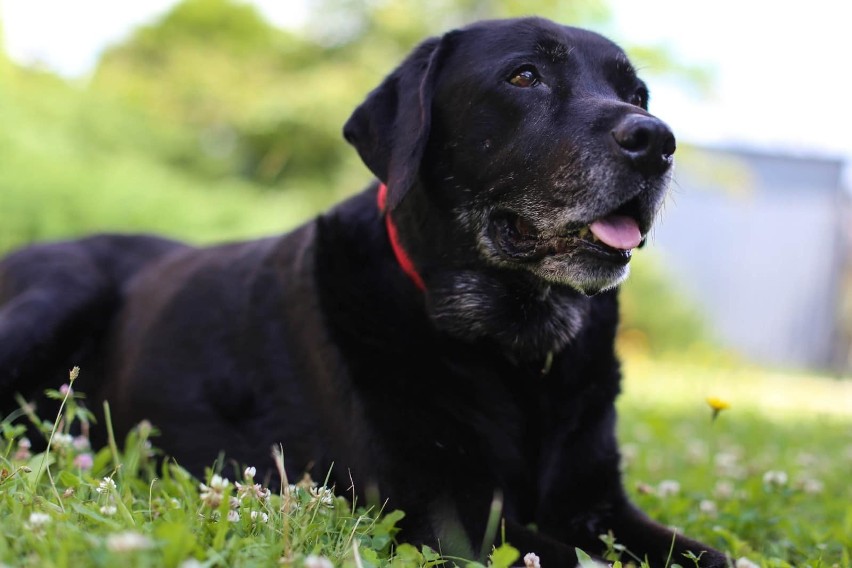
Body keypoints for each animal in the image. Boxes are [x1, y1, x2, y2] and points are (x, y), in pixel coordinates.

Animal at [3, 17, 728, 568]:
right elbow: (572, 558)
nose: (656, 140)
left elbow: (713, 555)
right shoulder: (443, 507)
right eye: (524, 76)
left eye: (639, 93)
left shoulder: (597, 502)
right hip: (62, 288)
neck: (513, 349)